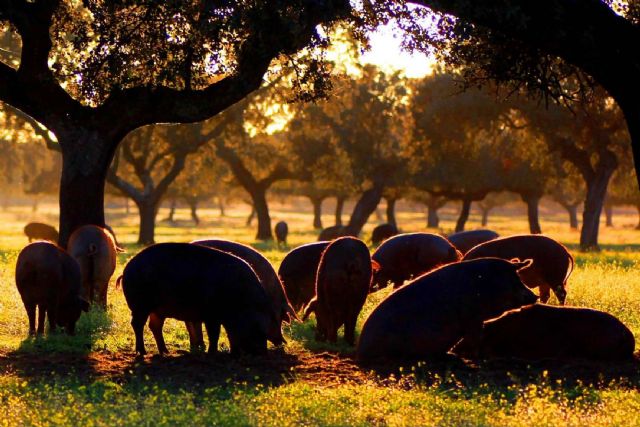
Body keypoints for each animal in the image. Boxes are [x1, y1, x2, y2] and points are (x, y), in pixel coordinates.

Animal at [121, 242, 282, 356]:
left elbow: (226, 334)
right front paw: (213, 353)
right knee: (137, 324)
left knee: (154, 326)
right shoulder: (212, 315)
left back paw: (165, 352)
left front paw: (231, 352)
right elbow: (214, 334)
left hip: (157, 310)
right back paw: (142, 352)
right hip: (140, 305)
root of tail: (128, 267)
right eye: (258, 326)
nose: (262, 353)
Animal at [358, 260, 536, 362]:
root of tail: (361, 350)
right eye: (512, 278)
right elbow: (476, 338)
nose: (535, 296)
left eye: (518, 277)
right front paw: (481, 358)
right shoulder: (472, 316)